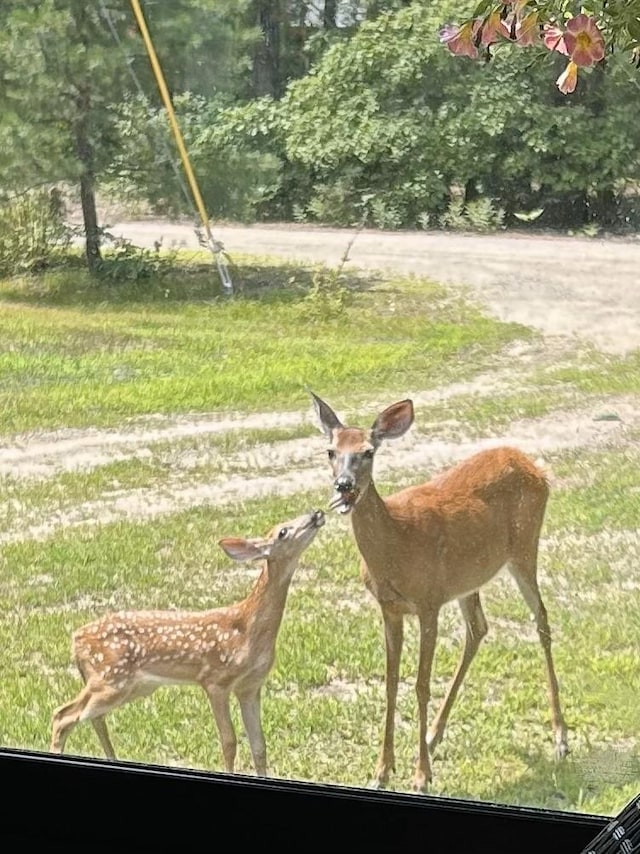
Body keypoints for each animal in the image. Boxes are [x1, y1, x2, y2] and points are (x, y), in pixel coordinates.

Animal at [50, 512, 324, 780]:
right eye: (283, 531)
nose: (316, 514)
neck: (249, 629)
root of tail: (76, 639)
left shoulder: (250, 686)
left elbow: (259, 746)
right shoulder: (215, 680)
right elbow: (229, 742)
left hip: (133, 686)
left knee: (93, 717)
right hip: (110, 678)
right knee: (62, 716)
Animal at [312, 394, 568, 796]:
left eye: (368, 452)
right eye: (330, 451)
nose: (344, 485)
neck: (396, 545)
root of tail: (531, 464)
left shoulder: (428, 601)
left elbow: (420, 685)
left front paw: (420, 775)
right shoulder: (390, 607)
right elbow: (390, 682)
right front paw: (381, 771)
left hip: (525, 546)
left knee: (540, 619)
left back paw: (560, 738)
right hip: (469, 579)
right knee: (479, 628)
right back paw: (433, 736)